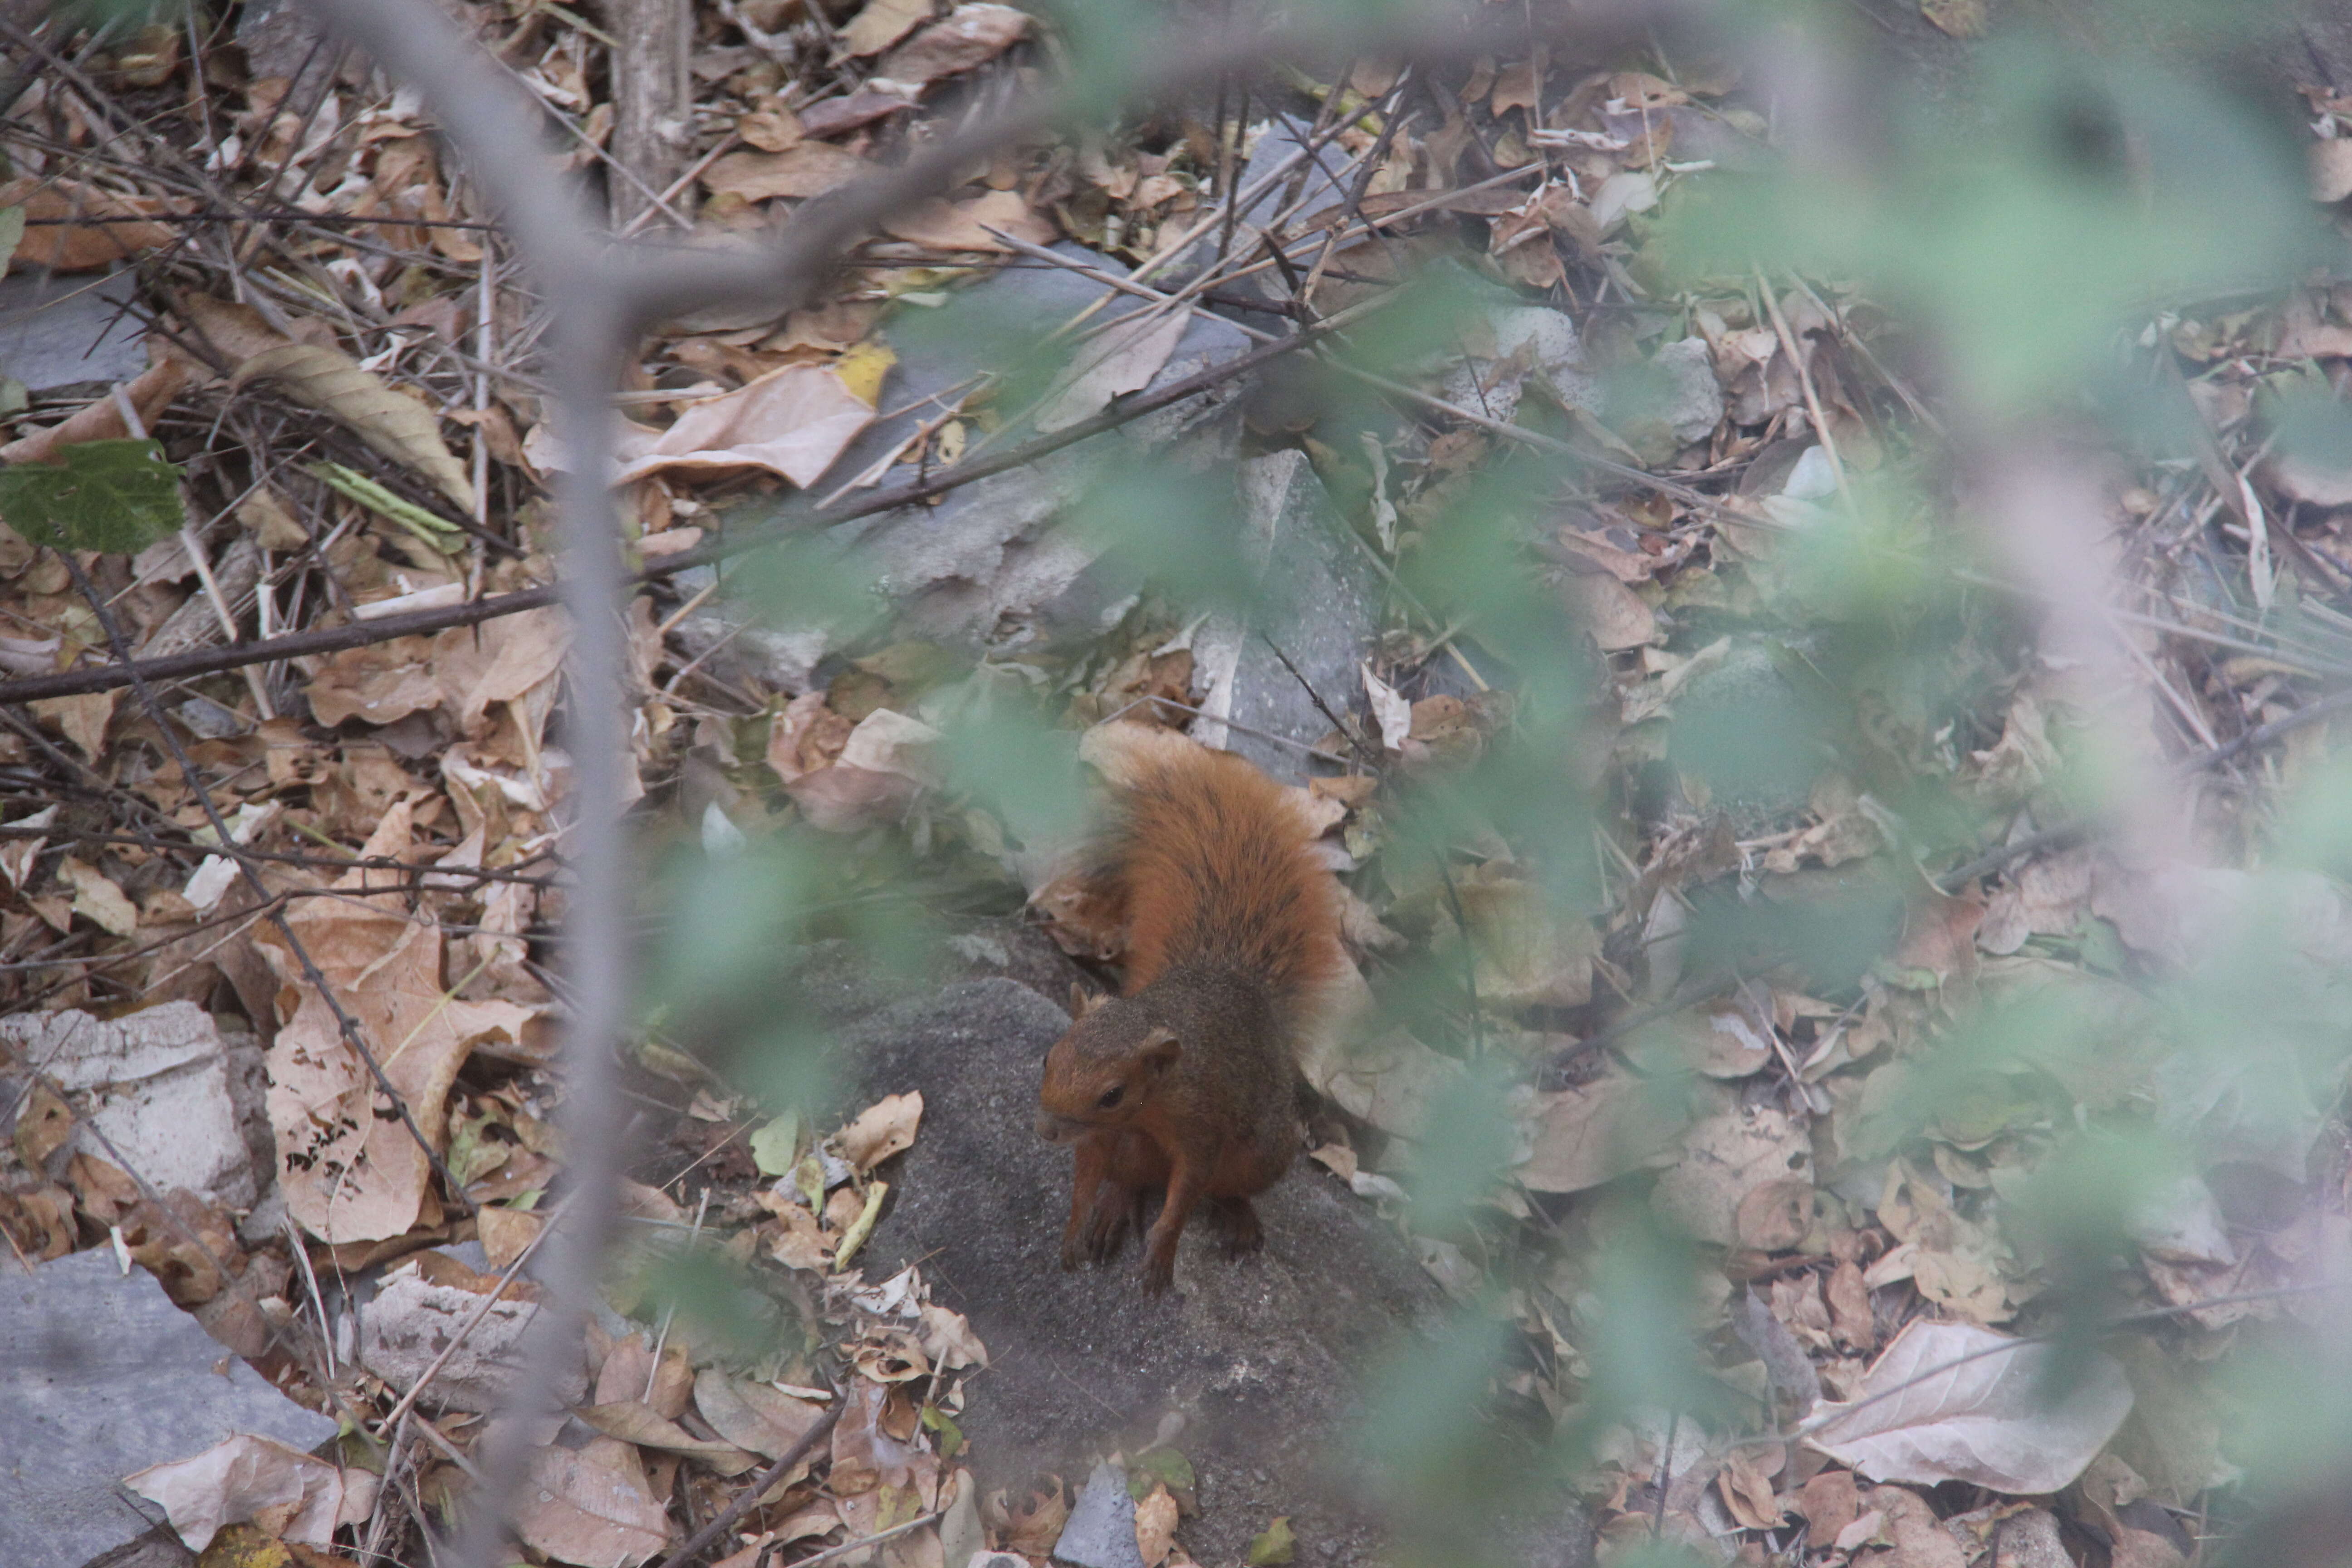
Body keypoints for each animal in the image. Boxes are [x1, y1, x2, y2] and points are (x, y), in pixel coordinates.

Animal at [1030, 738, 1345, 1298]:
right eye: (1048, 1058)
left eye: (1113, 1094)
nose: (1045, 1131)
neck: (1154, 1101)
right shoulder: (1102, 1137)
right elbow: (1088, 1177)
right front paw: (1073, 1231)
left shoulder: (1202, 1128)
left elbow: (1186, 1193)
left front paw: (1161, 1254)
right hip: (1137, 1151)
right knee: (1130, 1180)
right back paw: (1112, 1211)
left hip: (1263, 1155)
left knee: (1223, 1190)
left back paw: (1239, 1218)